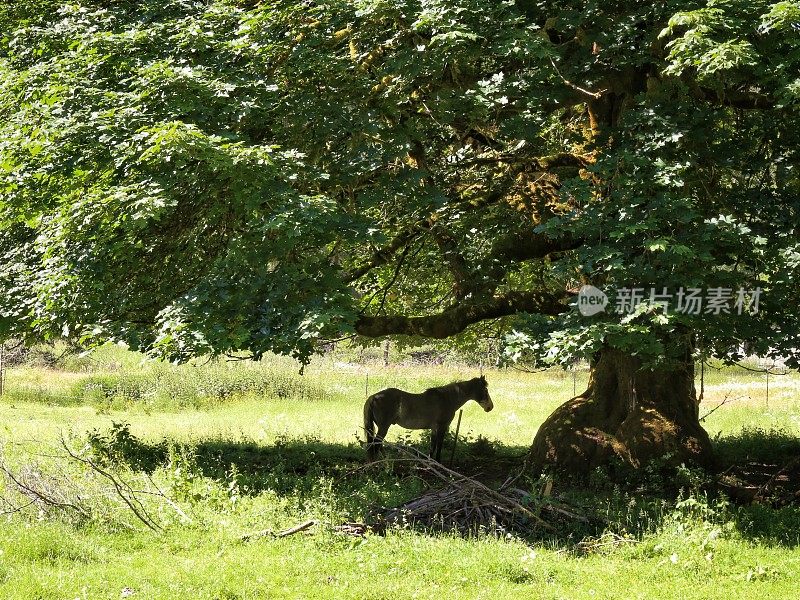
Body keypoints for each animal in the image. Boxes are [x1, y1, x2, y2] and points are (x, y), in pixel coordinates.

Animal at [364, 376, 494, 464]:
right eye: (485, 390)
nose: (490, 407)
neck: (447, 398)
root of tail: (374, 397)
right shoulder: (442, 427)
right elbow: (439, 445)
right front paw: (438, 461)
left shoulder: (434, 429)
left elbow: (433, 445)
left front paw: (431, 462)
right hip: (384, 427)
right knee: (376, 444)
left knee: (377, 444)